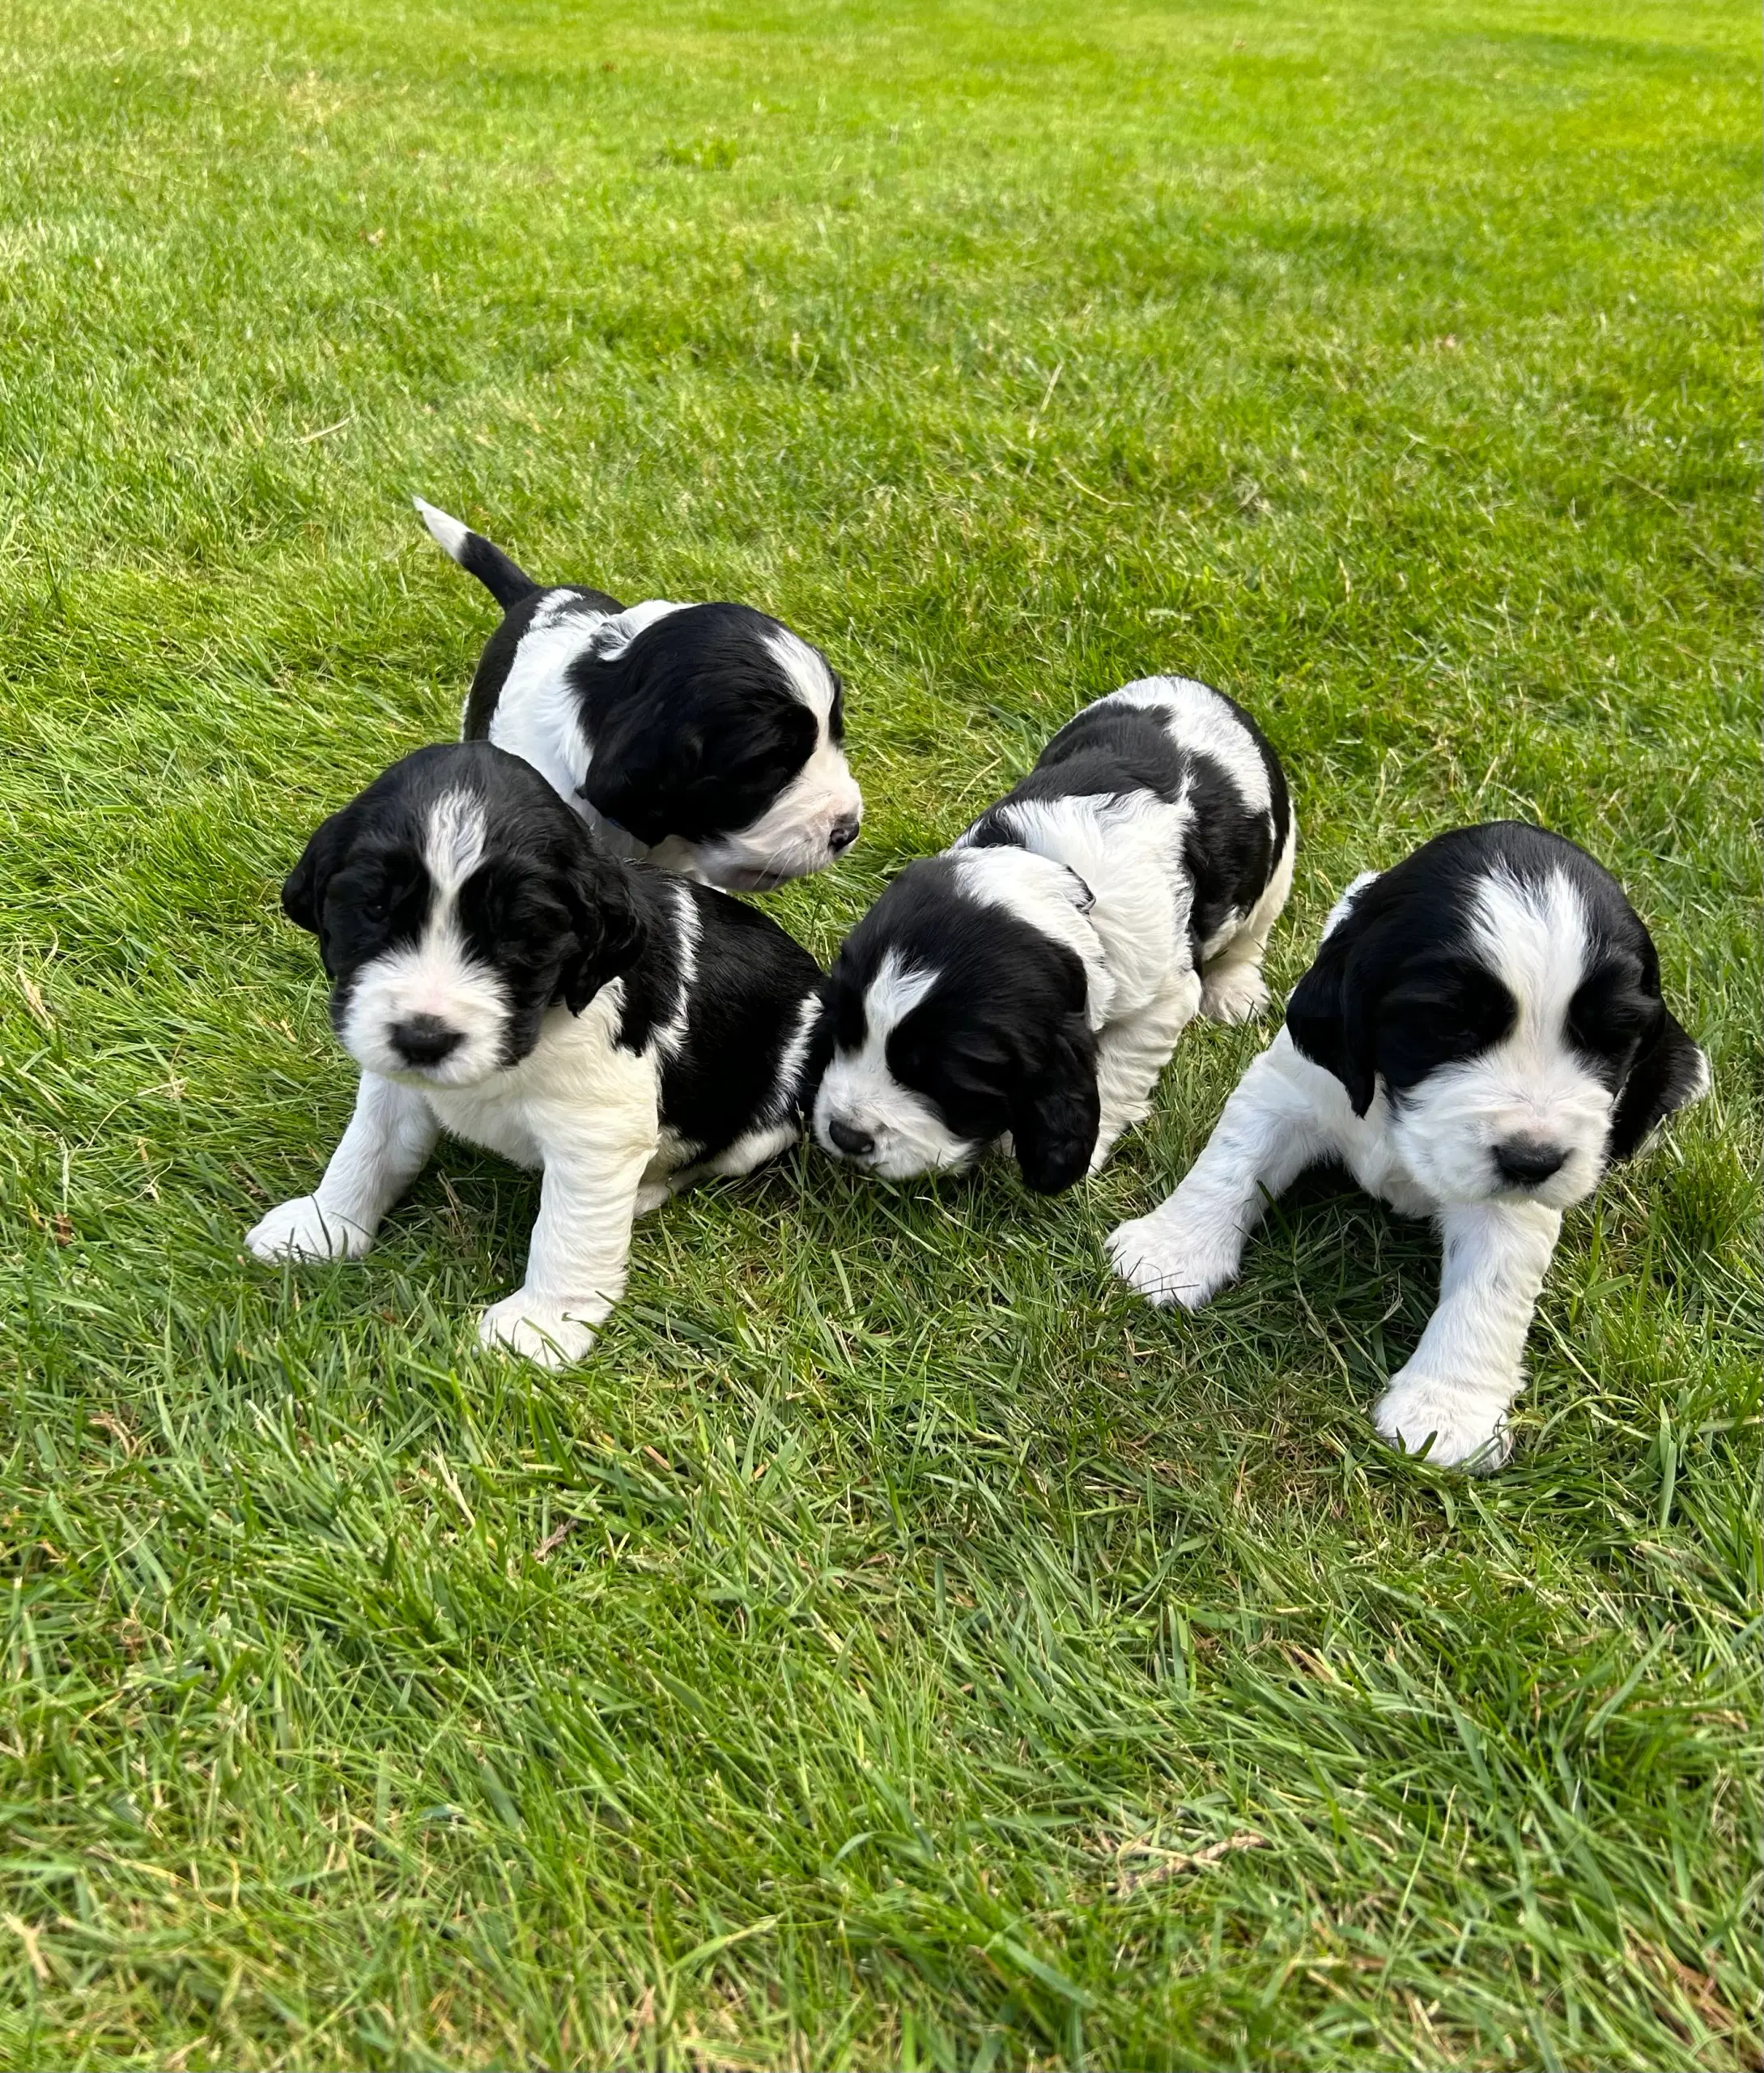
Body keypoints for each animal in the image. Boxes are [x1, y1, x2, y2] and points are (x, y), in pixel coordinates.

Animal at [244, 742, 833, 1360]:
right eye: (375, 910)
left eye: (519, 934)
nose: (424, 1038)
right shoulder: (393, 1081)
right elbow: (368, 1149)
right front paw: (324, 1225)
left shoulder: (596, 1134)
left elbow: (569, 1230)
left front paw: (541, 1325)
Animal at [808, 675, 1293, 1194]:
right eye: (843, 1031)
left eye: (946, 1083)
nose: (846, 1135)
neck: (1058, 876)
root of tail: (1200, 686)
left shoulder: (1161, 999)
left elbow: (1116, 1072)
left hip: (1277, 870)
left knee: (1250, 937)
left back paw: (1234, 992)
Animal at [1119, 820, 1707, 1475]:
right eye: (1448, 1024)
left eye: (1611, 1037)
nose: (1534, 1162)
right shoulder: (1290, 1086)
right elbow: (1232, 1161)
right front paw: (1169, 1253)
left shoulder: (1513, 1194)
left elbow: (1489, 1290)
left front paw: (1445, 1412)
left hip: (1682, 1068)